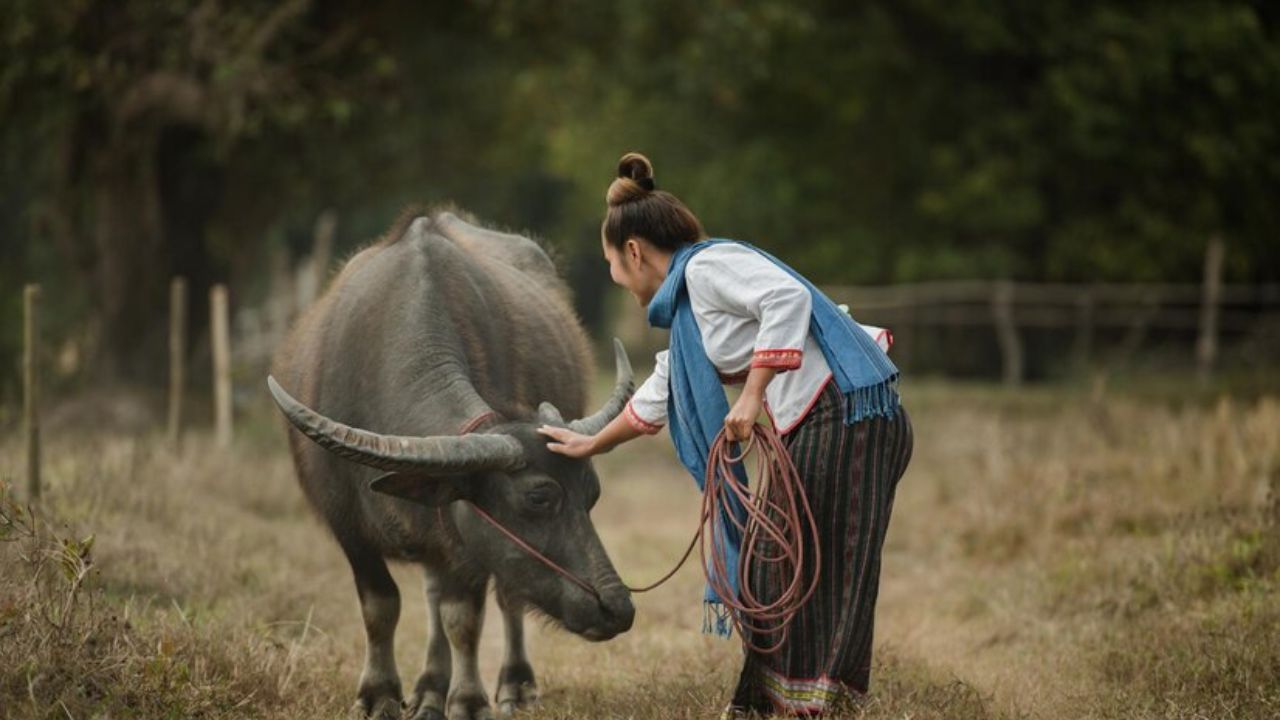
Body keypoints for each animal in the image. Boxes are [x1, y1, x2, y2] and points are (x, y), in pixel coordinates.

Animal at [268, 210, 634, 717]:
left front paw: (467, 700)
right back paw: (427, 690)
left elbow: (463, 618)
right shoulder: (348, 527)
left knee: (503, 598)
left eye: (591, 495)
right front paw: (379, 694)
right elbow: (380, 606)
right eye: (538, 498)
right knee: (433, 592)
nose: (617, 607)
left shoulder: (467, 541)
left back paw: (510, 685)